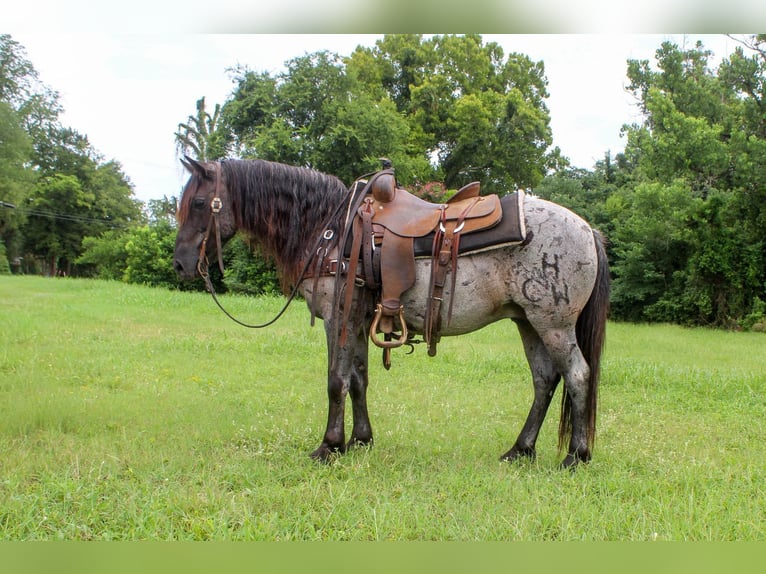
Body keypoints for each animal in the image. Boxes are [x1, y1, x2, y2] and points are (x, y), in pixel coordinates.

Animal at [173, 157, 610, 469]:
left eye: (200, 203)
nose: (180, 263)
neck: (331, 229)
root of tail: (587, 229)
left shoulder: (339, 317)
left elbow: (336, 381)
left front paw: (329, 447)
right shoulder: (359, 319)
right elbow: (359, 379)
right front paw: (360, 440)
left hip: (553, 325)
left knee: (577, 375)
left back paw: (576, 457)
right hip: (528, 323)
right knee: (544, 381)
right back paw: (520, 450)